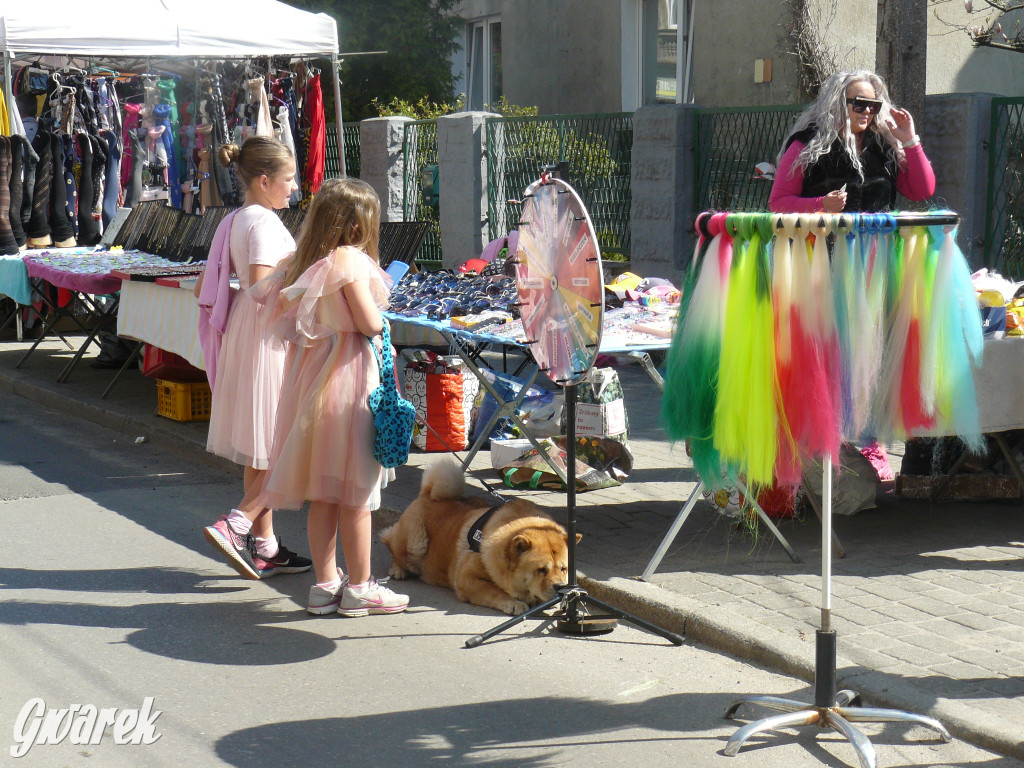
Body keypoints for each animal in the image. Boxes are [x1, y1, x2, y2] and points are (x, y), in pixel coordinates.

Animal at [382, 460, 581, 618]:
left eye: (564, 568)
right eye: (541, 570)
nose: (561, 587)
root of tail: (427, 494)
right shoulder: (465, 578)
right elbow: (493, 590)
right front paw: (514, 603)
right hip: (415, 542)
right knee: (389, 542)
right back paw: (398, 569)